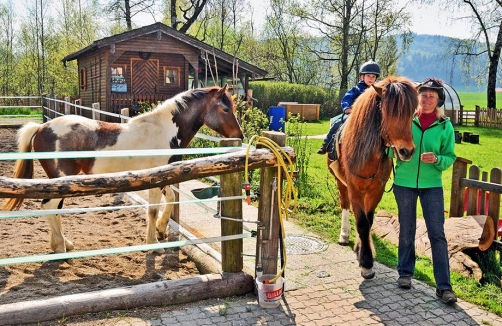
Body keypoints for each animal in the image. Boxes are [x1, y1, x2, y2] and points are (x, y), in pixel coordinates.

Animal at [0, 85, 243, 253]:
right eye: (225, 108)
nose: (239, 135)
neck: (164, 131)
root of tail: (41, 127)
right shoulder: (155, 181)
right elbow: (153, 210)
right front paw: (152, 242)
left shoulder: (165, 177)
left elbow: (172, 199)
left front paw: (161, 229)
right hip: (61, 180)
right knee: (49, 207)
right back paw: (60, 247)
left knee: (55, 209)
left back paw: (65, 244)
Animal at [328, 76, 418, 278]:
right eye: (389, 112)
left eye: (412, 113)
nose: (407, 151)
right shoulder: (354, 188)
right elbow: (361, 222)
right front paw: (366, 263)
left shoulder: (377, 190)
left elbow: (368, 222)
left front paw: (363, 249)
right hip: (341, 182)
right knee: (344, 204)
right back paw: (344, 235)